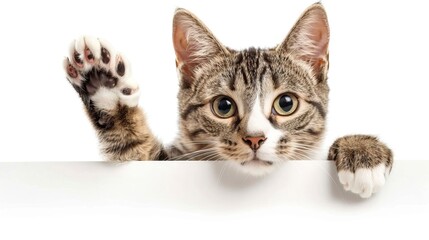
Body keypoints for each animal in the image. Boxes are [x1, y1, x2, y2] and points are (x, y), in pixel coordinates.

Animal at [61, 2, 392, 198]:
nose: (255, 138)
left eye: (286, 103)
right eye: (223, 106)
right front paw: (102, 84)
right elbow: (133, 150)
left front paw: (362, 151)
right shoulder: (163, 163)